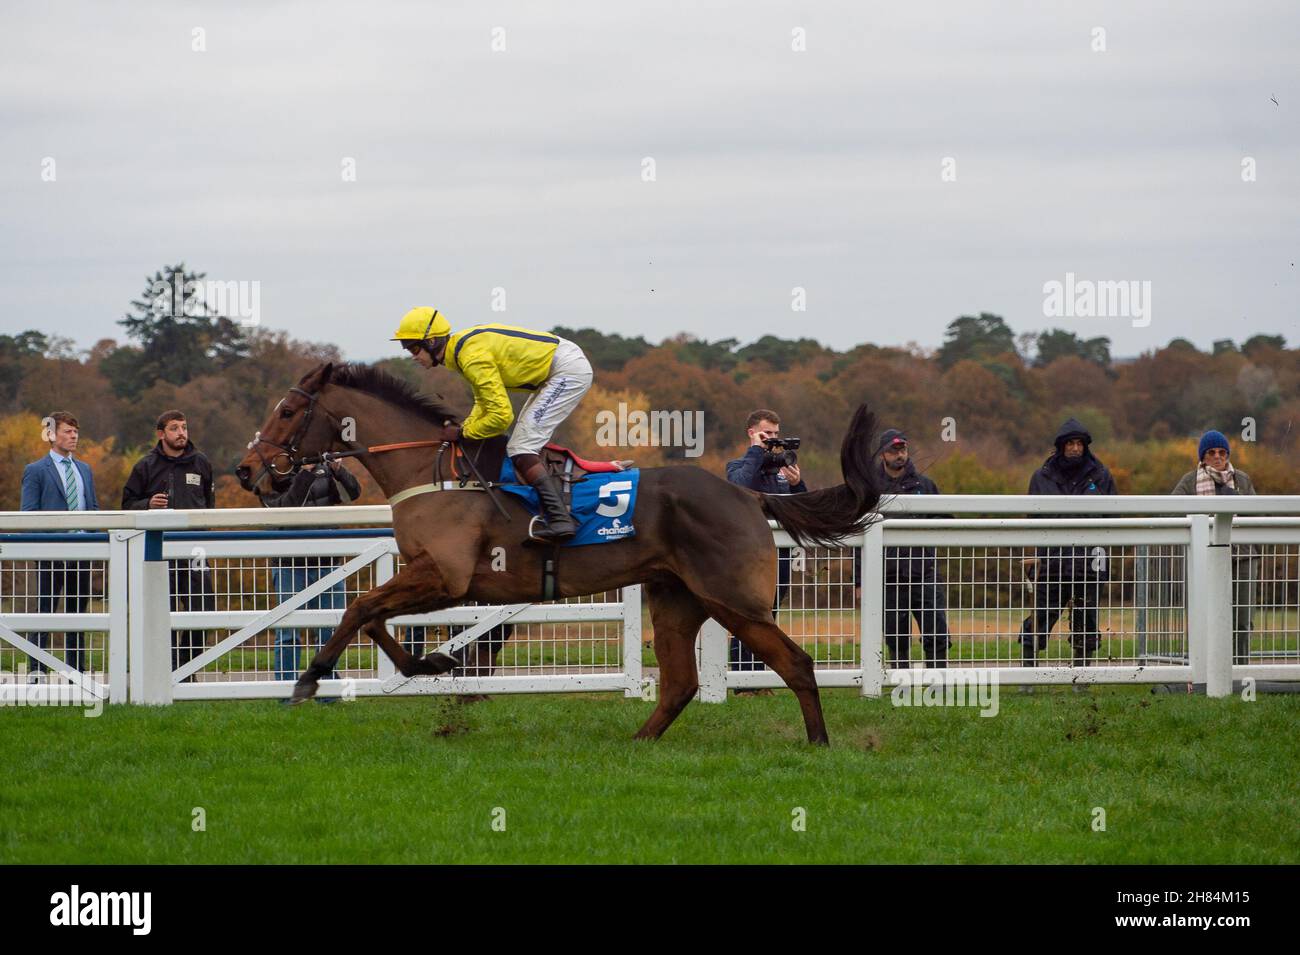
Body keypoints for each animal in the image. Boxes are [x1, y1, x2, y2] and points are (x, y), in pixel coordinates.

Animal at [237, 361, 878, 743]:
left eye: (288, 411)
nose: (247, 470)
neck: (432, 471)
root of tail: (750, 492)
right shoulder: (432, 577)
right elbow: (371, 616)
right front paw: (431, 664)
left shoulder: (445, 576)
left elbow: (358, 608)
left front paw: (310, 679)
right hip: (675, 598)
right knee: (680, 683)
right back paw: (639, 744)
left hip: (735, 601)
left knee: (796, 664)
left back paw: (818, 746)